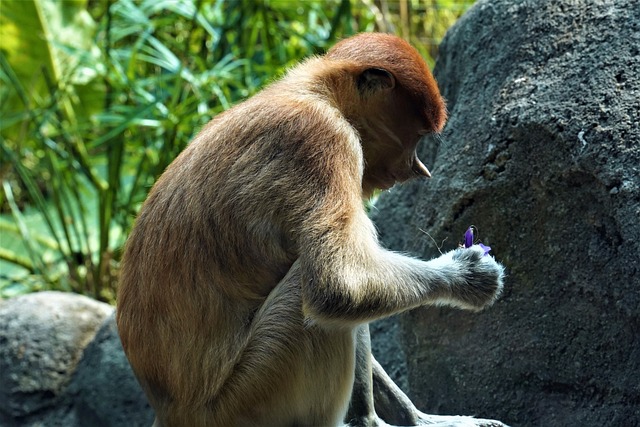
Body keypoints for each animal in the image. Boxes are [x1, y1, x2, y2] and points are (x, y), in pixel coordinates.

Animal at [115, 33, 504, 427]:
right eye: (417, 134)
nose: (419, 170)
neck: (315, 91)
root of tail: (174, 413)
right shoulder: (323, 140)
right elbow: (338, 285)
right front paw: (468, 275)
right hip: (251, 394)